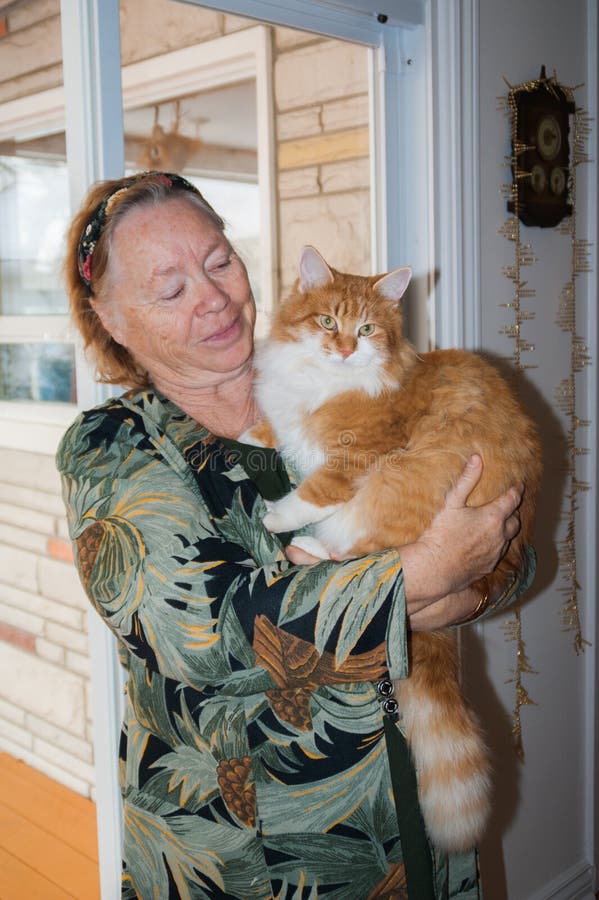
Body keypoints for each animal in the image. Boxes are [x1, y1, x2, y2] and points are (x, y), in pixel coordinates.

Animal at [246, 246, 540, 852]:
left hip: (399, 485)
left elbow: (314, 492)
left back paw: (304, 545)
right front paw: (251, 432)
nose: (344, 348)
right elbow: (275, 430)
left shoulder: (356, 462)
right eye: (327, 322)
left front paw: (278, 512)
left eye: (365, 329)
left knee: (351, 546)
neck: (325, 380)